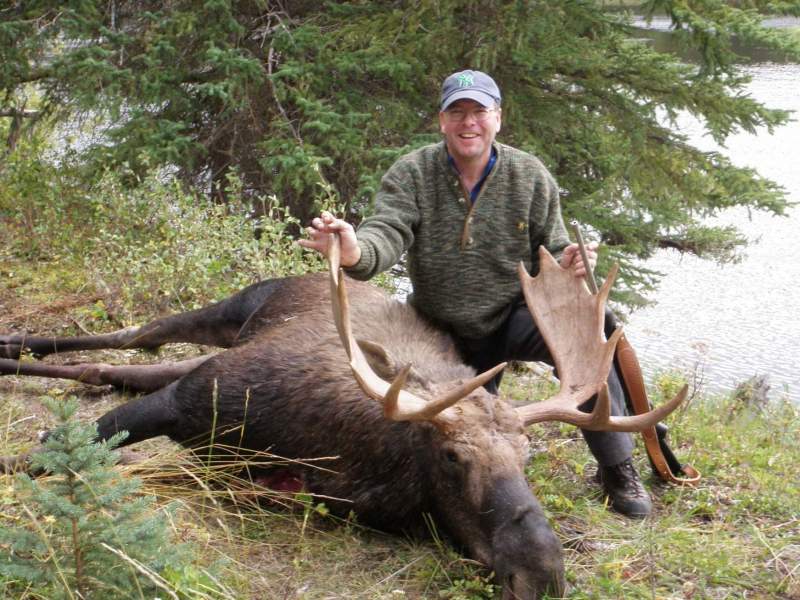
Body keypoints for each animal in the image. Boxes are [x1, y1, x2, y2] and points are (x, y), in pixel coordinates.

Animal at [1, 237, 688, 596]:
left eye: (527, 459)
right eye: (451, 455)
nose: (542, 572)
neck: (341, 454)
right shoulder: (200, 393)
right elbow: (63, 445)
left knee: (113, 367)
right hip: (232, 311)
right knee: (132, 337)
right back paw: (16, 341)